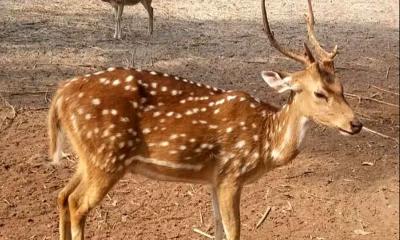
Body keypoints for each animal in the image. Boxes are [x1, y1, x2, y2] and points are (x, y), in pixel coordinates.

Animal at [49, 0, 362, 239]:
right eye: (319, 93)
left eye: (342, 87)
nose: (355, 124)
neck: (266, 142)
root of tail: (61, 94)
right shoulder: (232, 174)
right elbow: (234, 231)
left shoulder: (214, 179)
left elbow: (218, 229)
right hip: (107, 157)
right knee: (77, 204)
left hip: (88, 157)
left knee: (62, 196)